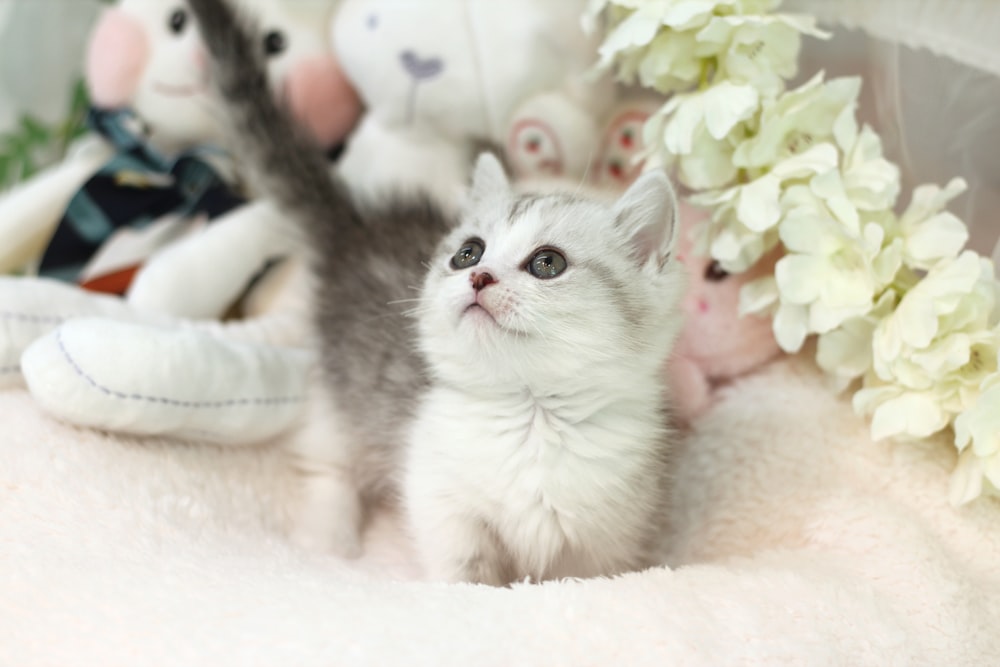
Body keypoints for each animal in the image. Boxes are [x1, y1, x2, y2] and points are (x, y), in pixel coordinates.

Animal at [186, 0, 688, 584]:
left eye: (547, 264)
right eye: (468, 253)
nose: (478, 277)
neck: (532, 420)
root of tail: (358, 226)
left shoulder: (604, 538)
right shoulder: (440, 497)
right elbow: (462, 569)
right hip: (340, 390)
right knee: (328, 462)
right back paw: (329, 537)